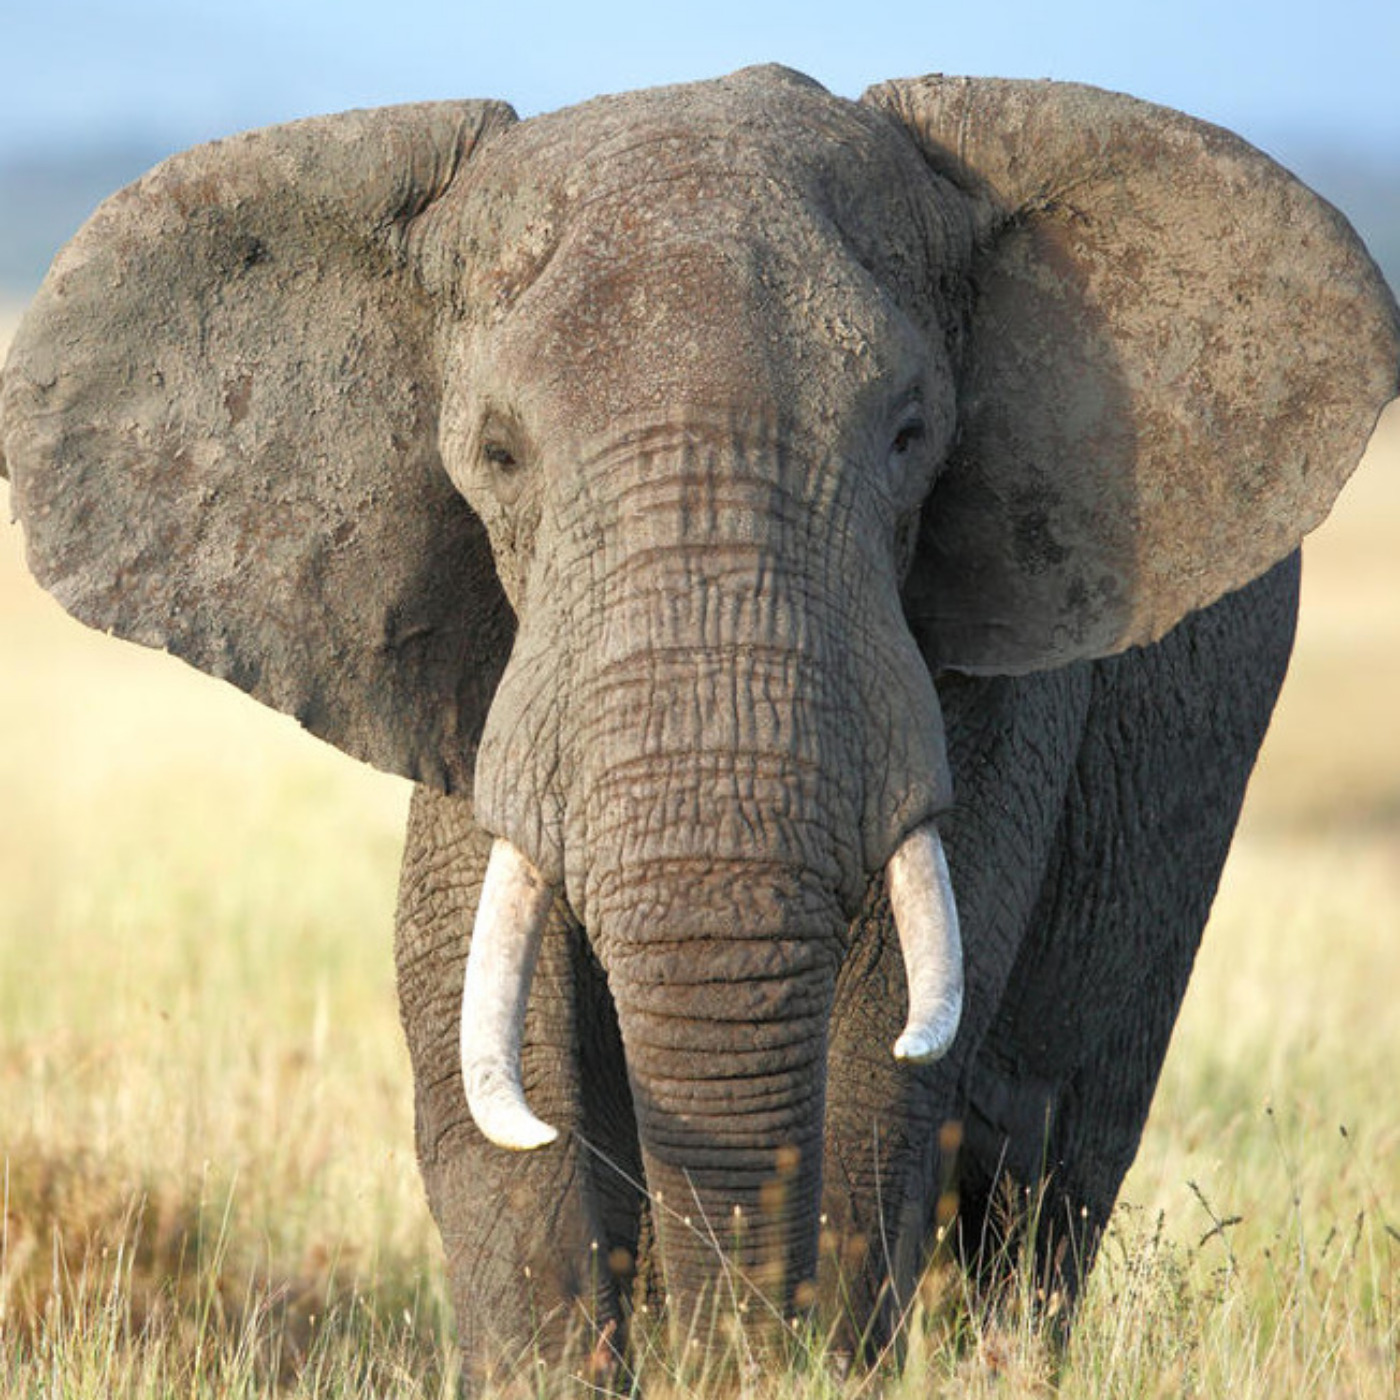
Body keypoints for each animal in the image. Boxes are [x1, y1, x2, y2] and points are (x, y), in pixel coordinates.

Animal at [2, 64, 1398, 1380]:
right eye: (496, 452)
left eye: (908, 434)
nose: (728, 1349)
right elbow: (485, 1038)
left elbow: (883, 1042)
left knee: (1051, 1174)